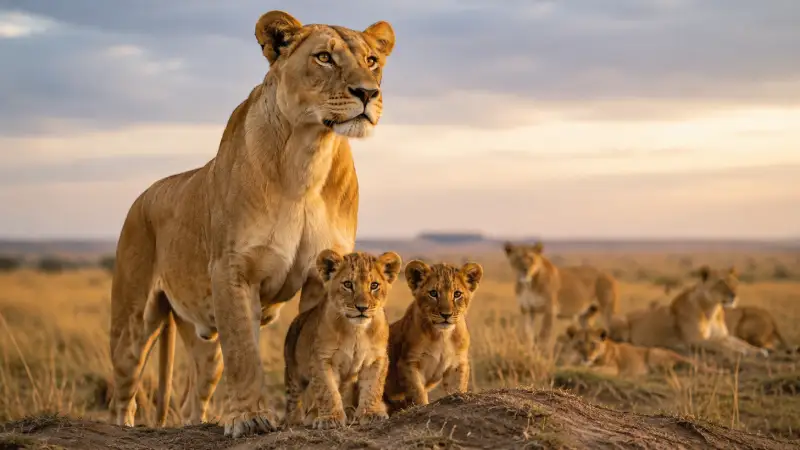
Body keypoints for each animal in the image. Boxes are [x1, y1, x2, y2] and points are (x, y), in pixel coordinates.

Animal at [283, 249, 401, 429]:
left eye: (374, 285)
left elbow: (373, 387)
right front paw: (330, 418)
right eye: (348, 284)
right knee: (294, 399)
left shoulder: (376, 358)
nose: (362, 308)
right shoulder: (322, 358)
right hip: (295, 374)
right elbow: (327, 390)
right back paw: (295, 420)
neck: (356, 331)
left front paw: (371, 413)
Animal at [383, 260, 484, 413]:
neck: (442, 335)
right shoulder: (408, 363)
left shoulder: (457, 362)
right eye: (433, 293)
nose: (446, 315)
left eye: (457, 294)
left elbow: (457, 387)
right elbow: (417, 392)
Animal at [564, 325, 696, 378]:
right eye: (579, 343)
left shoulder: (614, 368)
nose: (586, 357)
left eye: (593, 344)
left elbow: (593, 369)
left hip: (653, 353)